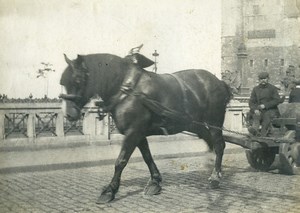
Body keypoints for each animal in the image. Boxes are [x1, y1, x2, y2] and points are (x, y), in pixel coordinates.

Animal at [59, 51, 232, 203]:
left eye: (78, 80)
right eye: (62, 82)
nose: (68, 114)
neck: (126, 89)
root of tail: (219, 82)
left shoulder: (133, 132)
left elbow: (121, 161)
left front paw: (110, 190)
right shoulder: (138, 133)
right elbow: (147, 157)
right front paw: (155, 182)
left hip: (214, 121)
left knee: (219, 144)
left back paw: (215, 177)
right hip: (194, 124)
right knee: (210, 141)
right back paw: (214, 169)